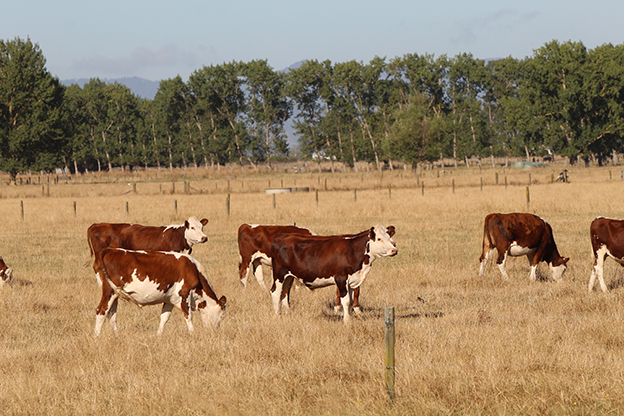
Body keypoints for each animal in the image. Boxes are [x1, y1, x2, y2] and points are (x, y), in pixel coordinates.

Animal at [94, 249, 225, 336]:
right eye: (221, 316)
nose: (216, 332)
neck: (193, 269)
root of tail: (109, 250)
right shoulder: (184, 294)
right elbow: (188, 316)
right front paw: (192, 334)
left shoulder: (170, 299)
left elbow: (164, 317)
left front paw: (158, 335)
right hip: (109, 291)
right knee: (101, 311)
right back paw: (97, 336)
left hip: (114, 294)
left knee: (112, 314)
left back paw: (116, 335)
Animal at [270, 224, 398, 322]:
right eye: (379, 239)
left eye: (389, 237)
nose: (394, 250)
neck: (353, 251)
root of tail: (282, 236)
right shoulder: (341, 279)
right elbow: (345, 301)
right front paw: (347, 321)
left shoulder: (352, 281)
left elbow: (351, 301)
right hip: (279, 274)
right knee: (275, 292)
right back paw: (277, 316)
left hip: (288, 276)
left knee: (283, 293)